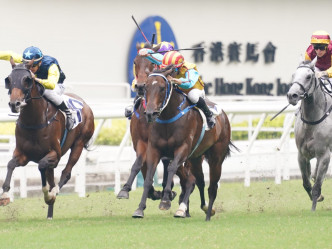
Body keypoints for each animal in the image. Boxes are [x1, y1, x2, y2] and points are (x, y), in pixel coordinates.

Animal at [0, 59, 94, 219]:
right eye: (9, 80)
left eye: (27, 80)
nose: (14, 104)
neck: (34, 121)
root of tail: (85, 104)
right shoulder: (23, 155)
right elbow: (11, 164)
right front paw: (5, 195)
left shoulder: (54, 155)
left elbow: (42, 166)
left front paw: (48, 194)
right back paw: (50, 213)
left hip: (79, 144)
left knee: (66, 173)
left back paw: (54, 193)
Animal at [134, 65, 232, 220]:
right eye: (146, 88)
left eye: (162, 88)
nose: (150, 114)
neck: (168, 117)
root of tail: (223, 116)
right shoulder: (154, 149)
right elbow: (149, 177)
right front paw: (140, 208)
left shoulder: (183, 148)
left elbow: (172, 168)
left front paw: (165, 200)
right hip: (196, 157)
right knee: (199, 180)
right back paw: (202, 207)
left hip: (216, 157)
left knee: (212, 186)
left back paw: (207, 215)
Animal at [286, 57, 330, 211]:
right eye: (293, 75)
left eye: (308, 76)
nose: (292, 95)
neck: (312, 121)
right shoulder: (302, 154)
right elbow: (306, 182)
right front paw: (317, 197)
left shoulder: (324, 154)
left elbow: (316, 186)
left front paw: (313, 208)